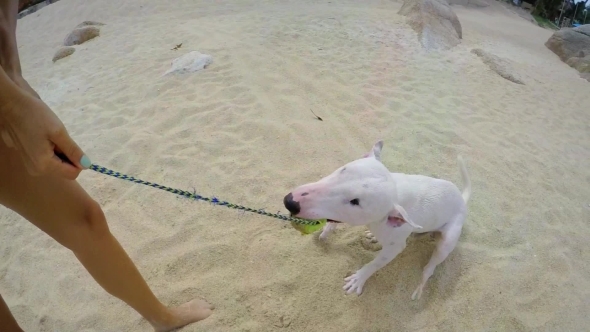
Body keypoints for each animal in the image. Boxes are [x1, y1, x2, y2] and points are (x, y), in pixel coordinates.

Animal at [284, 139, 474, 300]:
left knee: (430, 268)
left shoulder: (395, 248)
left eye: (356, 202)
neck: (396, 189)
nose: (290, 202)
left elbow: (374, 264)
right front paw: (326, 231)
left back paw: (420, 287)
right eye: (344, 169)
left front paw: (359, 278)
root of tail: (462, 199)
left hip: (448, 240)